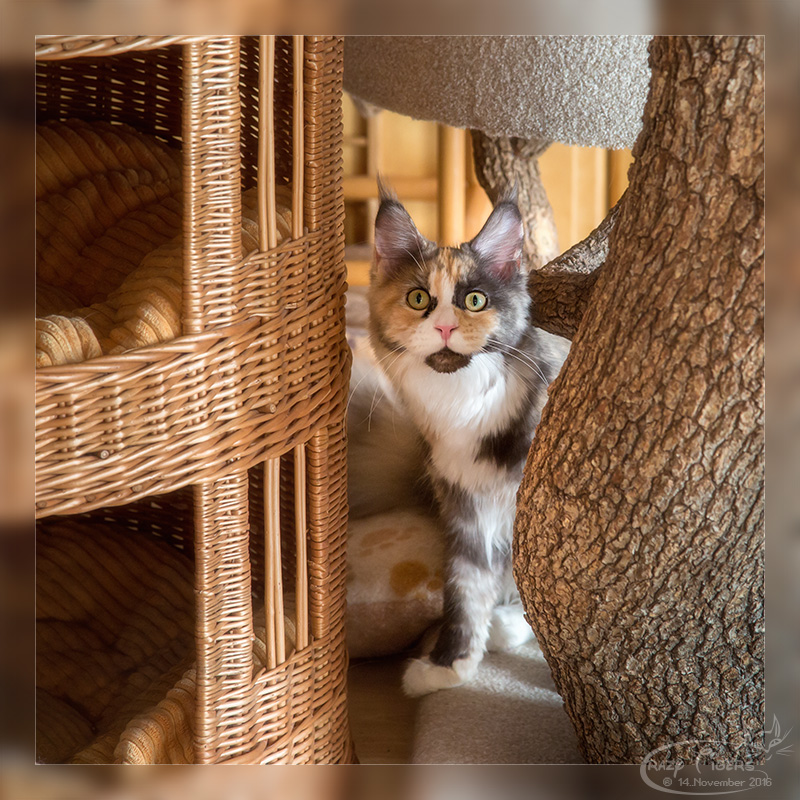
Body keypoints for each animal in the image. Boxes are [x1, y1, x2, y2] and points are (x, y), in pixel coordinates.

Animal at [348, 181, 569, 696]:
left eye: (474, 302)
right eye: (417, 299)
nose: (446, 327)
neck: (466, 406)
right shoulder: (465, 505)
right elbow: (465, 587)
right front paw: (450, 665)